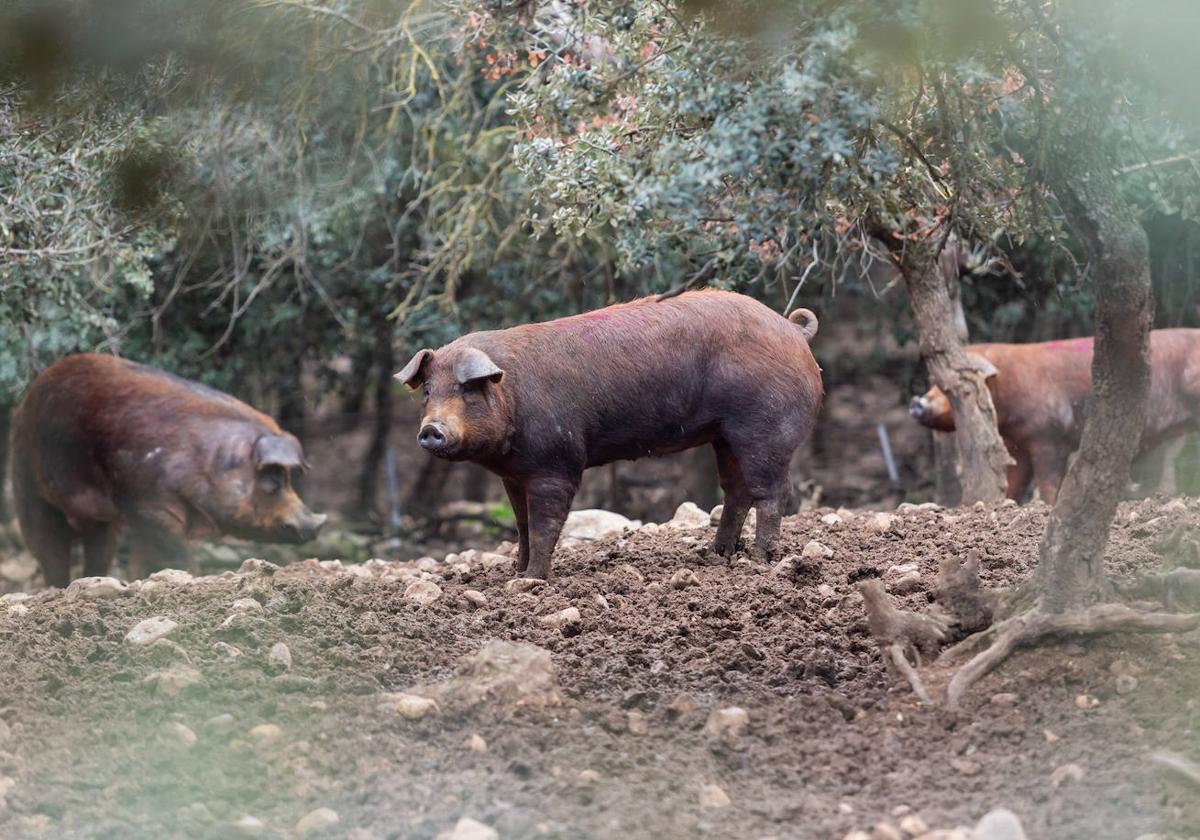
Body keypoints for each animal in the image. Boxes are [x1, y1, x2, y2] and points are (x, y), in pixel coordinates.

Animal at [9, 352, 326, 583]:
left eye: (287, 478)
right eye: (272, 482)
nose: (315, 524)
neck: (204, 460)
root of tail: (23, 405)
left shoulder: (141, 512)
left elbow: (144, 557)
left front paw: (137, 581)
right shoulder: (148, 505)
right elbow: (176, 552)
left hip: (103, 519)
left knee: (99, 549)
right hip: (28, 486)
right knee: (49, 547)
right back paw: (58, 587)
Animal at [398, 291, 820, 580]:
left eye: (467, 390)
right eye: (428, 391)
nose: (431, 429)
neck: (512, 394)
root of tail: (794, 331)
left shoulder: (557, 464)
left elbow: (544, 525)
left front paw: (532, 581)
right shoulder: (513, 475)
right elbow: (521, 525)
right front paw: (515, 574)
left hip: (765, 427)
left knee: (772, 492)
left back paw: (759, 562)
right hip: (724, 435)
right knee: (736, 491)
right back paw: (715, 556)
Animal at [902, 331, 1200, 506]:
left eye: (956, 388)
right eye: (935, 383)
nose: (917, 402)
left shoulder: (1049, 437)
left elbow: (1048, 480)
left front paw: (1046, 505)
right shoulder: (1017, 446)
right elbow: (1015, 480)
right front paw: (1007, 503)